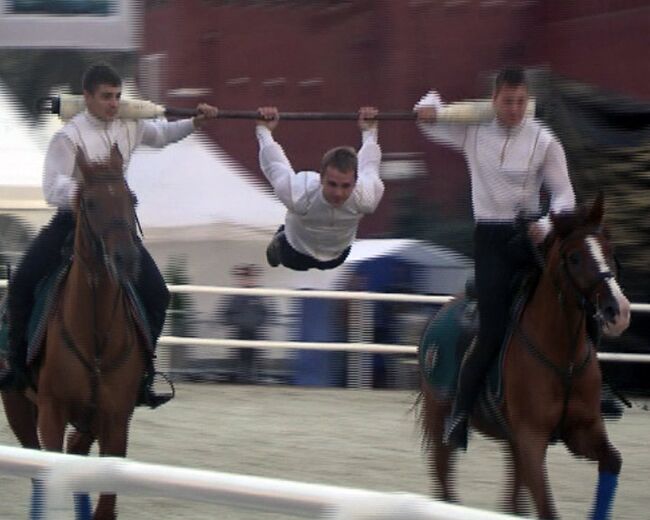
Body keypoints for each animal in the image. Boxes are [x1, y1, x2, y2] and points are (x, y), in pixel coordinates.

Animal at [3, 143, 147, 520]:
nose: (126, 259)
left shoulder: (115, 420)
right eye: (91, 203)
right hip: (17, 406)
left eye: (132, 199)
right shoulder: (51, 413)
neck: (95, 335)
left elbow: (105, 506)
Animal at [418, 196, 632, 520]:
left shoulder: (581, 431)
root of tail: (439, 315)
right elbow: (547, 508)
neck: (564, 358)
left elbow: (613, 461)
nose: (617, 311)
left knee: (511, 500)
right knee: (444, 482)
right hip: (440, 417)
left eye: (609, 250)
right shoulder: (531, 439)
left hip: (511, 442)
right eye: (574, 258)